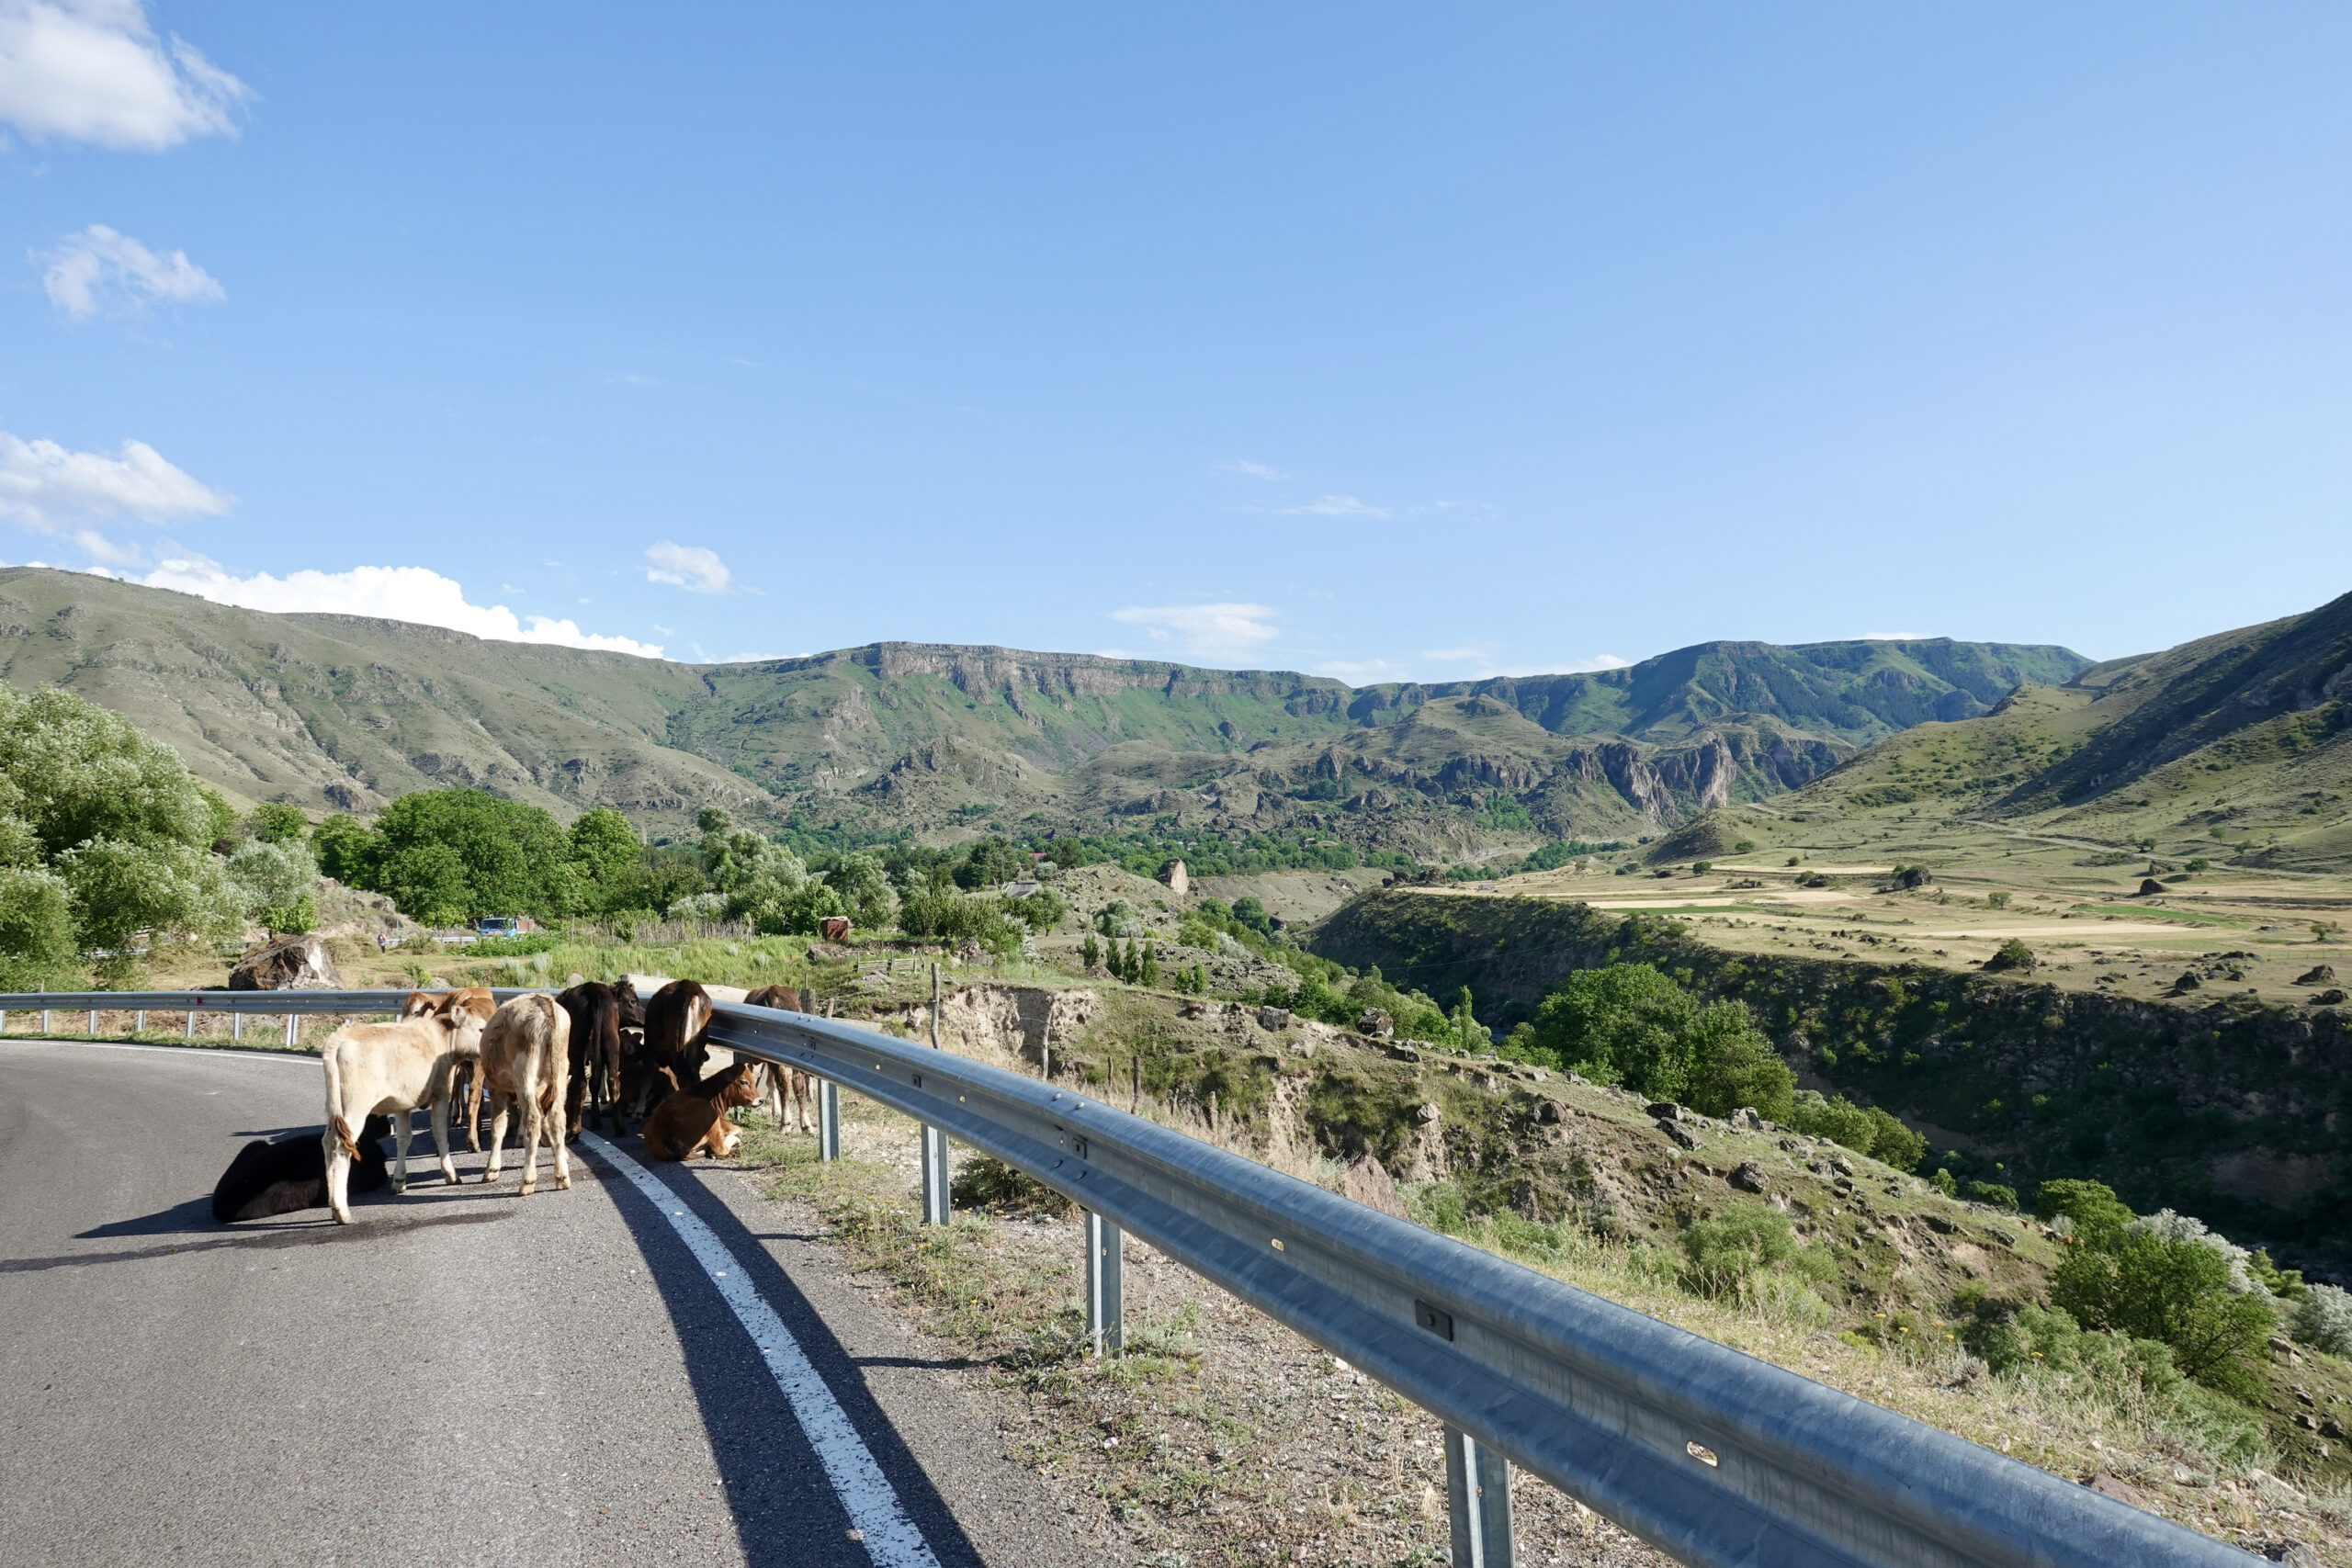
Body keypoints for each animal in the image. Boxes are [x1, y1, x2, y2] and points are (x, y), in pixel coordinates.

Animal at [320, 991, 489, 1222]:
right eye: (480, 1029)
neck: (441, 1038)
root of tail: (339, 1038)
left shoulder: (401, 1104)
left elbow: (403, 1139)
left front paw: (399, 1181)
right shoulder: (441, 1095)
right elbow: (440, 1133)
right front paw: (451, 1174)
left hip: (334, 1108)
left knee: (327, 1141)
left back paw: (331, 1201)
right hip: (356, 1107)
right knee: (341, 1145)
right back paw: (341, 1211)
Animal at [475, 1001, 571, 1194]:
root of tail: (544, 1004)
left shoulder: (495, 1088)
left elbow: (498, 1126)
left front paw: (492, 1169)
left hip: (524, 1075)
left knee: (532, 1120)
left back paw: (527, 1180)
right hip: (560, 1074)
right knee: (557, 1119)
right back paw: (562, 1177)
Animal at [639, 1062, 766, 1161]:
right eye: (743, 1082)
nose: (761, 1100)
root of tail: (664, 1129)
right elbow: (738, 1129)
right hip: (710, 1114)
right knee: (720, 1148)